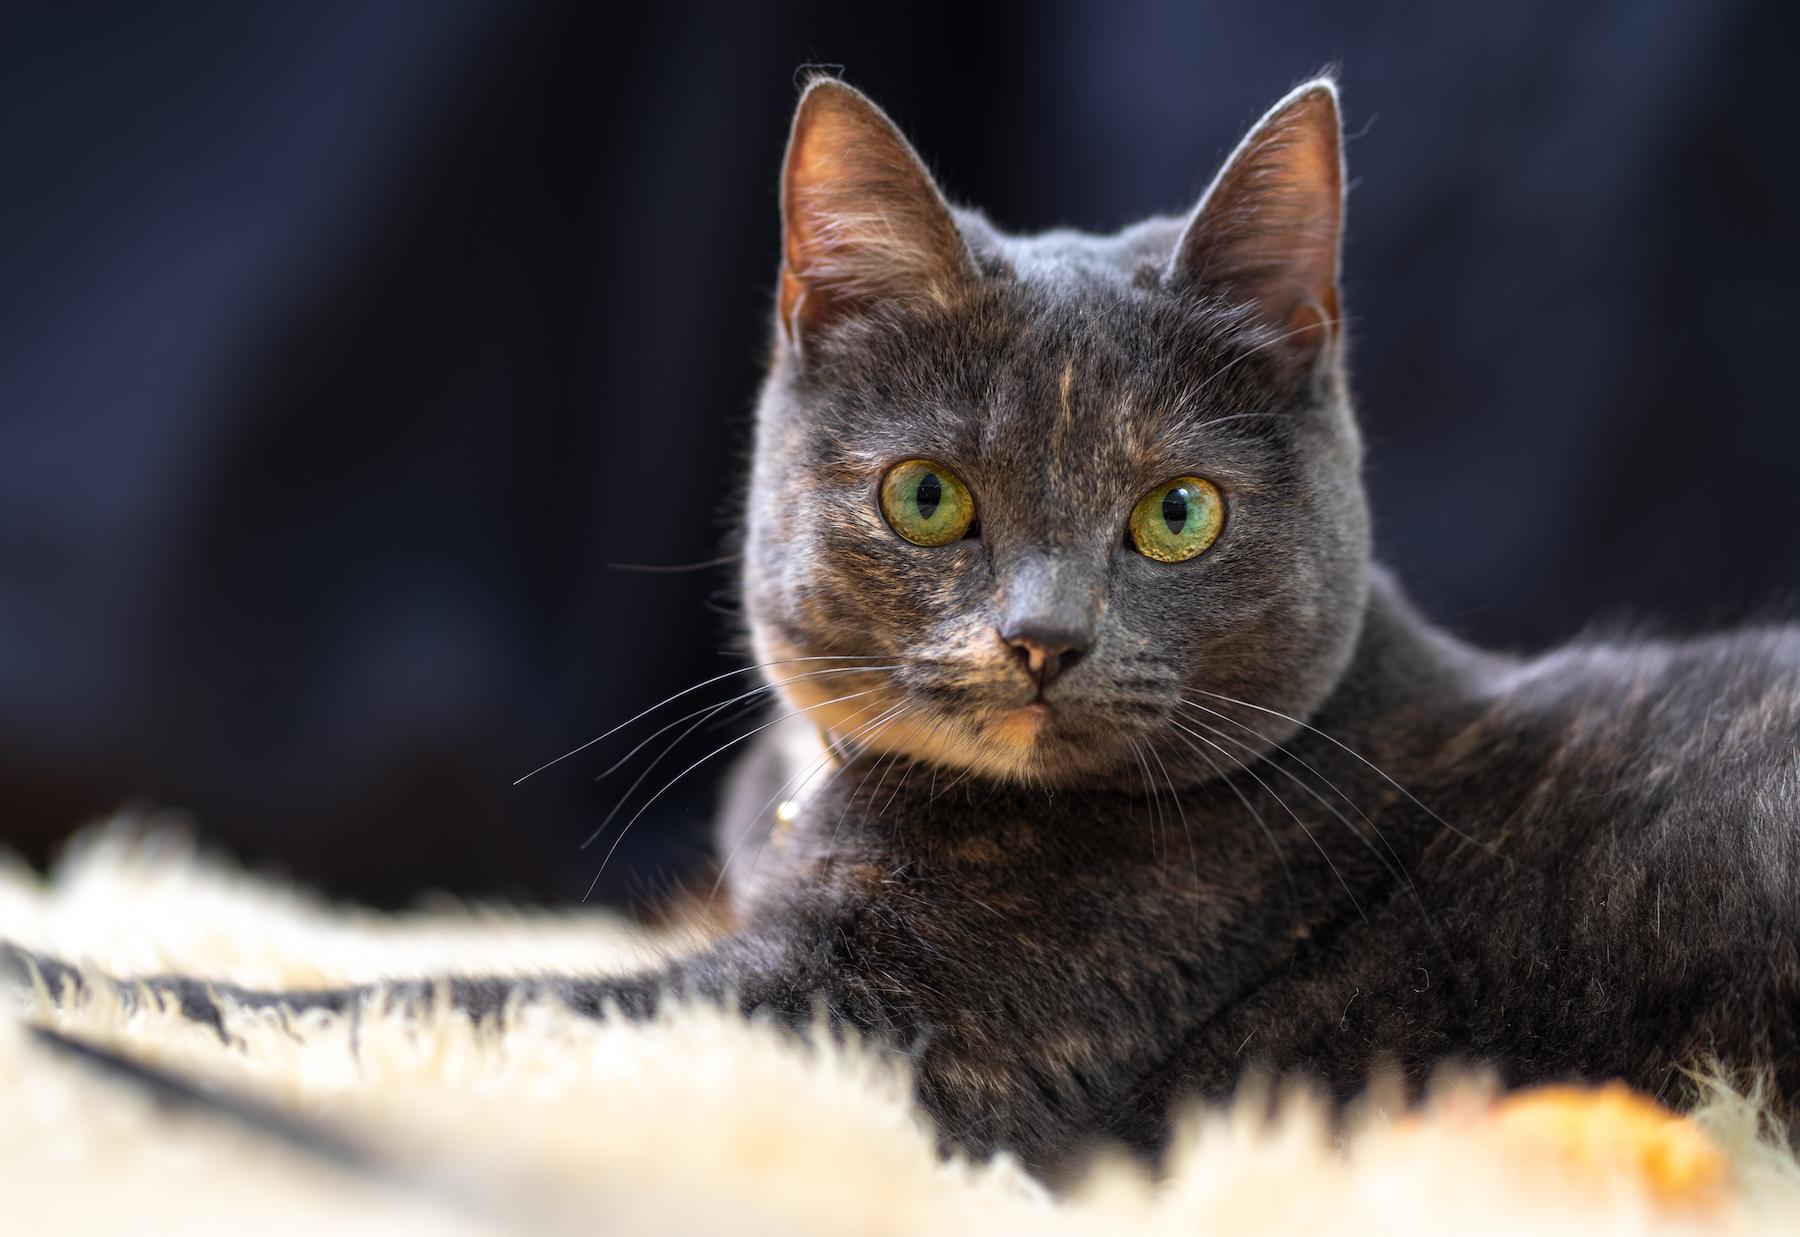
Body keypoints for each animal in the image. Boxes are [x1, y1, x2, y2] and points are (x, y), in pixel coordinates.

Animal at [3, 75, 1800, 1181]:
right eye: (928, 498)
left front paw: (79, 975)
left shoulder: (858, 1029)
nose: (1042, 638)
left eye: (1179, 513)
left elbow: (436, 996)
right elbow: (438, 963)